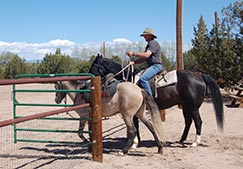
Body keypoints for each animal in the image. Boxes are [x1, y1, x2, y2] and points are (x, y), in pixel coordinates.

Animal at [89, 53, 224, 147]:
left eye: (94, 66)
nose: (88, 79)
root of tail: (199, 75)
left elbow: (135, 125)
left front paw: (134, 144)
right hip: (186, 107)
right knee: (188, 121)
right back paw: (181, 139)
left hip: (193, 107)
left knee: (198, 122)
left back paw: (195, 143)